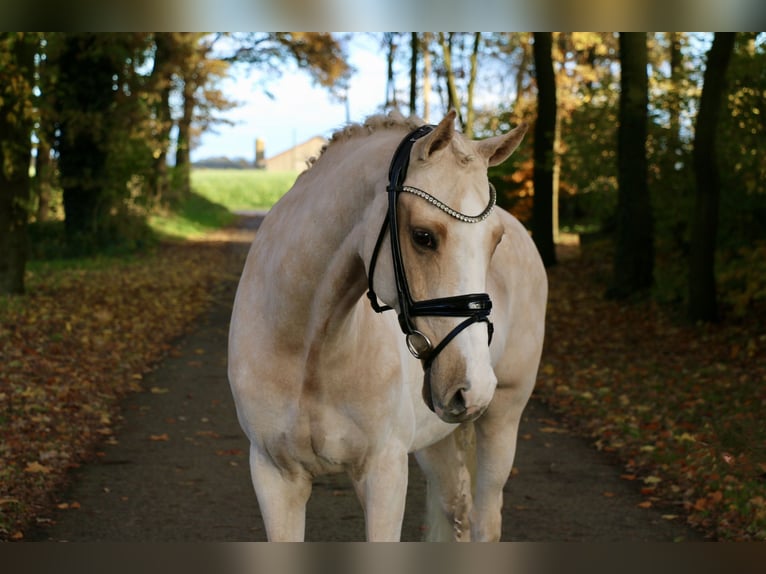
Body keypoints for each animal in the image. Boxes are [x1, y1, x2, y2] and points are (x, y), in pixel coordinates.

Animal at [226, 109, 544, 544]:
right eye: (423, 236)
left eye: (495, 240)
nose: (472, 386)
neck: (309, 350)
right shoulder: (274, 475)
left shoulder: (384, 473)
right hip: (436, 436)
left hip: (502, 418)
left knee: (485, 519)